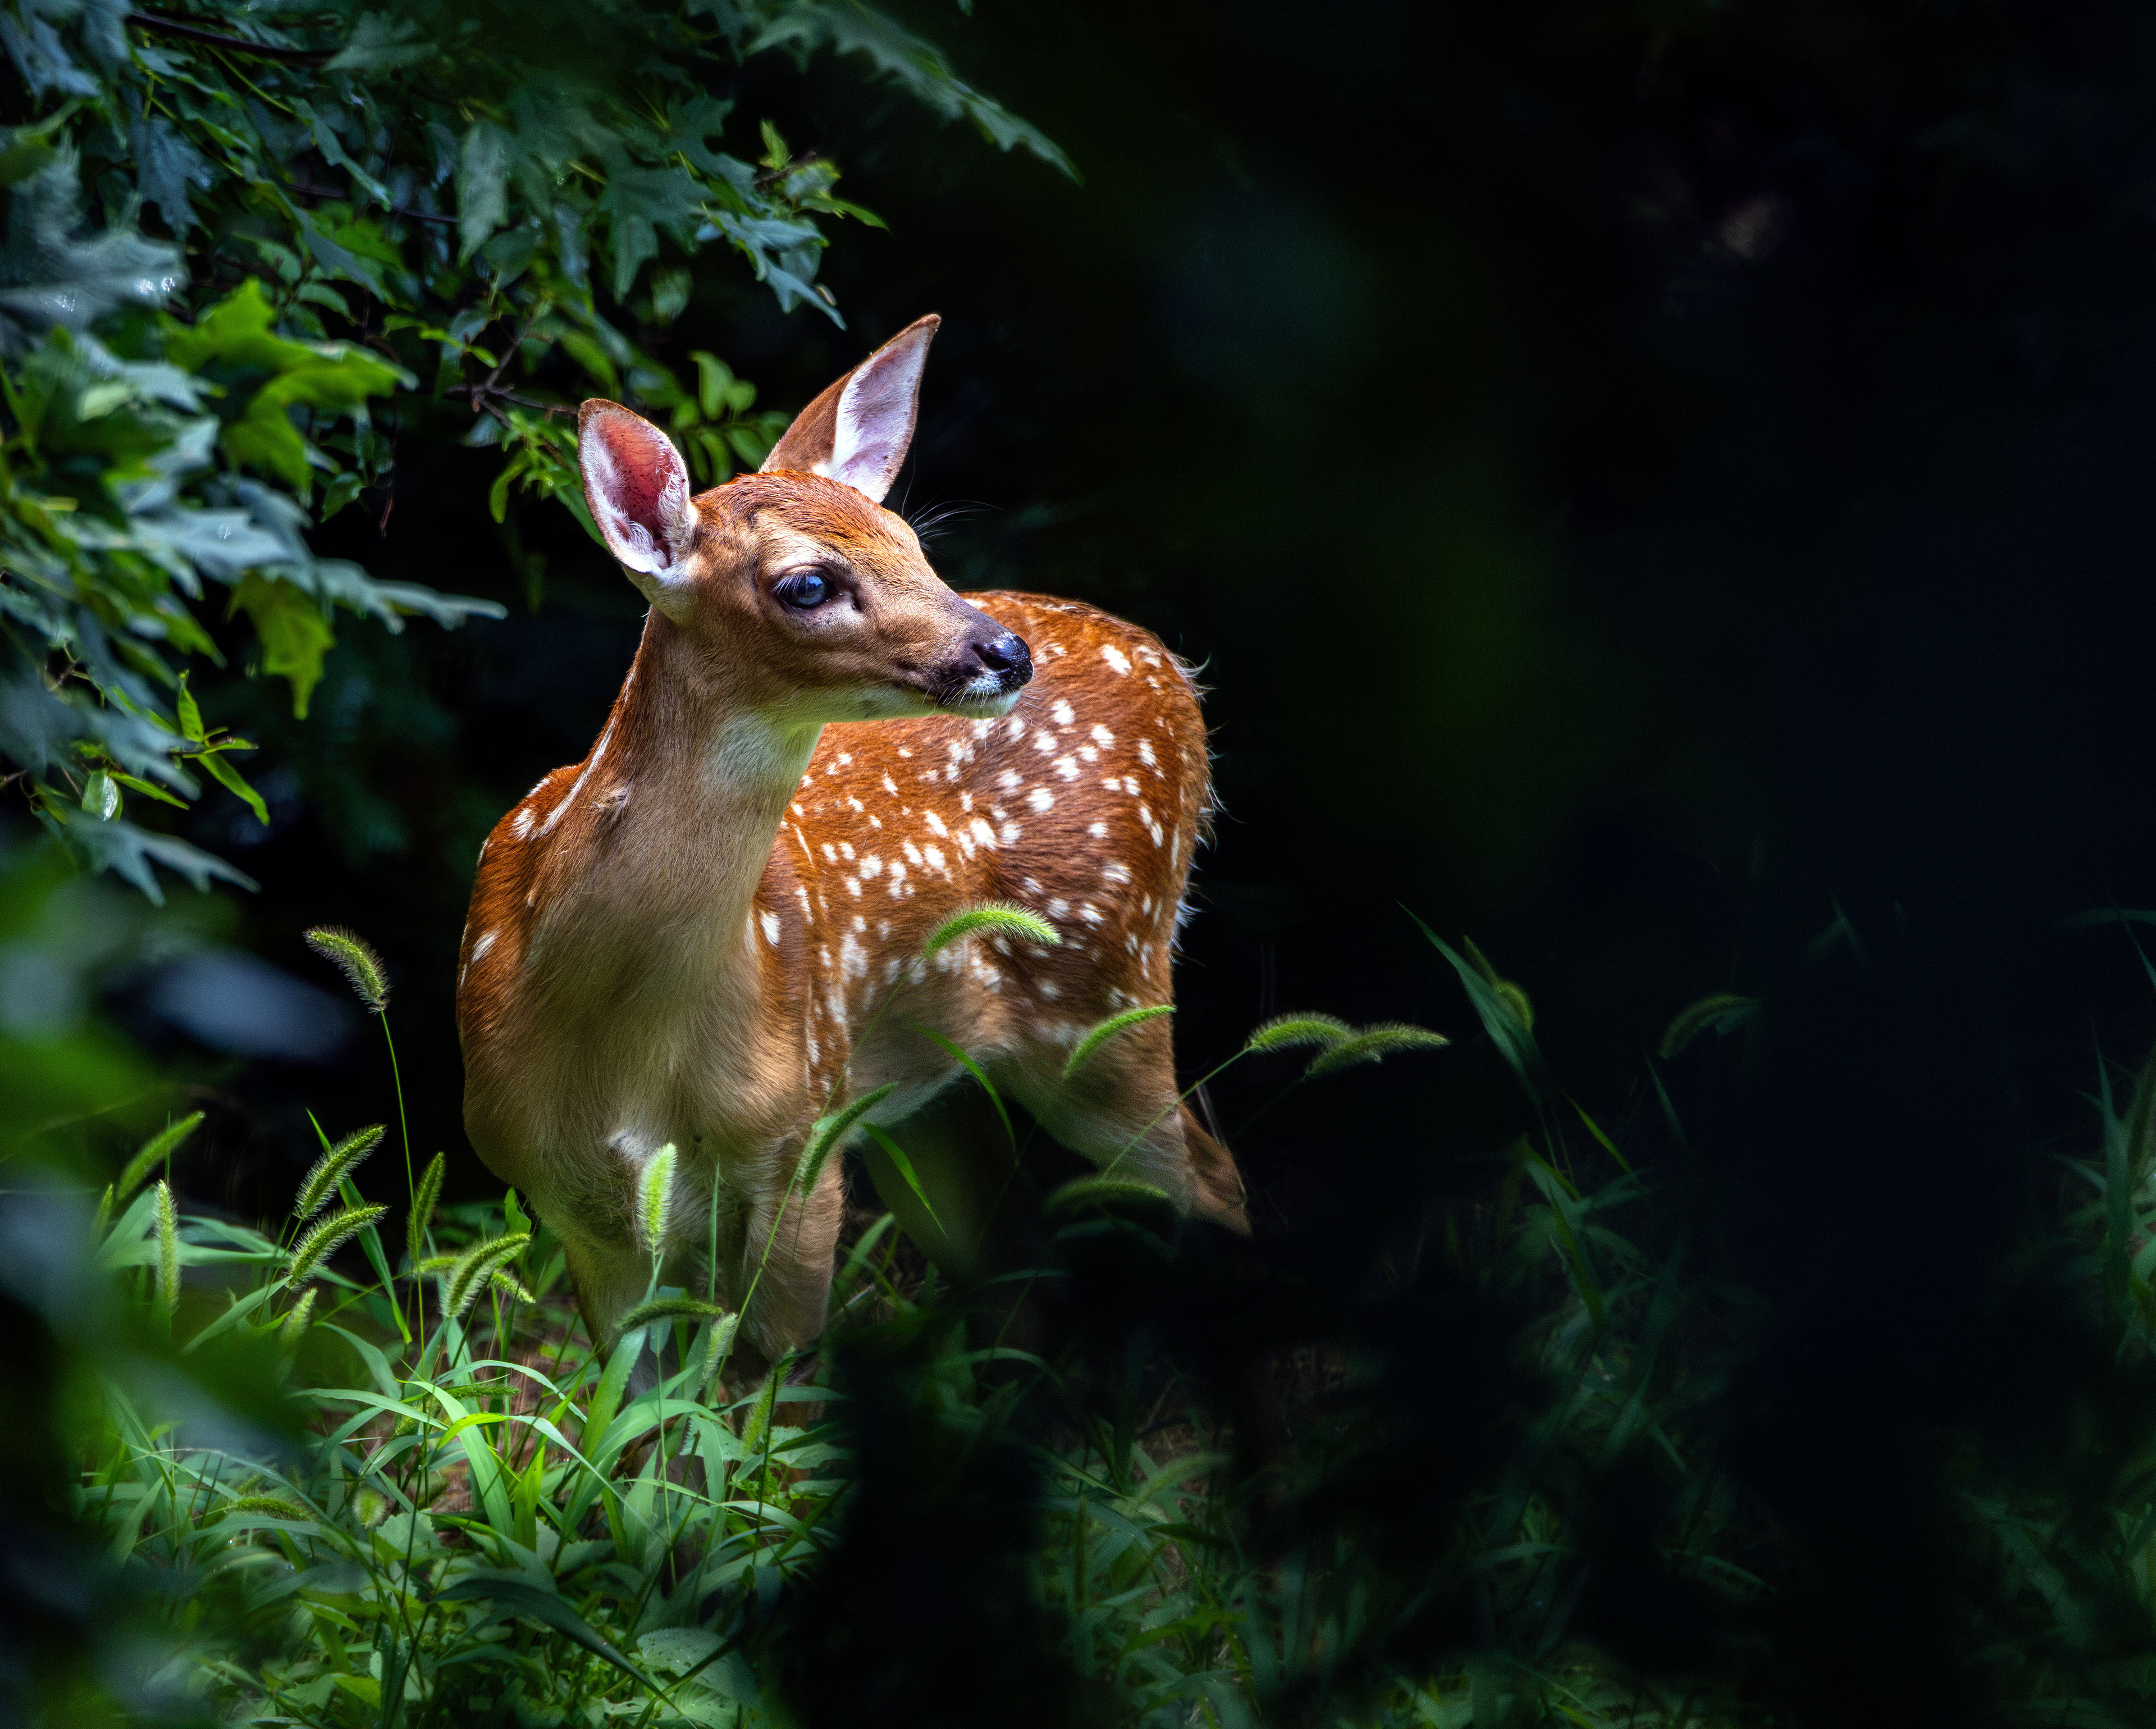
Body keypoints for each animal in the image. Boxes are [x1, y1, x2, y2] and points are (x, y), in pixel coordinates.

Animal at [455, 314, 1246, 1373]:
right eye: (808, 583)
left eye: (910, 541)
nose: (1005, 653)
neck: (621, 1042)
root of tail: (1171, 662)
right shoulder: (567, 1197)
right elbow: (628, 1404)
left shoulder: (801, 1135)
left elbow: (772, 1389)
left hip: (1108, 991)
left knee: (1214, 1183)